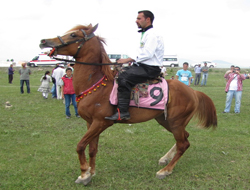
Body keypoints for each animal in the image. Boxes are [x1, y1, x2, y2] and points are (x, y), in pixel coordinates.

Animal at [39, 23, 217, 186]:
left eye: (74, 35)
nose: (44, 41)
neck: (97, 84)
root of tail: (193, 91)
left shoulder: (100, 122)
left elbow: (80, 146)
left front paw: (84, 174)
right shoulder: (91, 123)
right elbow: (92, 148)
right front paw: (91, 172)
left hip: (176, 122)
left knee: (183, 144)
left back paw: (165, 171)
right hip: (166, 120)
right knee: (185, 138)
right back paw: (165, 159)